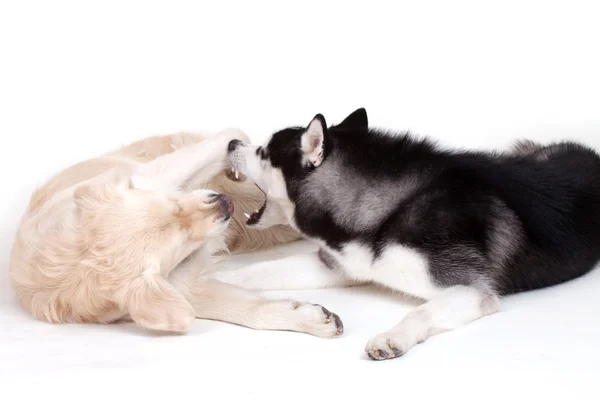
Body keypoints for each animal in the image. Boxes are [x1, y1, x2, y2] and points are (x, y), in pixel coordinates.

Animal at [9, 129, 344, 338]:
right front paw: (306, 317)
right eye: (184, 242)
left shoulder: (156, 174)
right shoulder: (176, 287)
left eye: (173, 200)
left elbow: (226, 136)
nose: (225, 203)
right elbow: (241, 307)